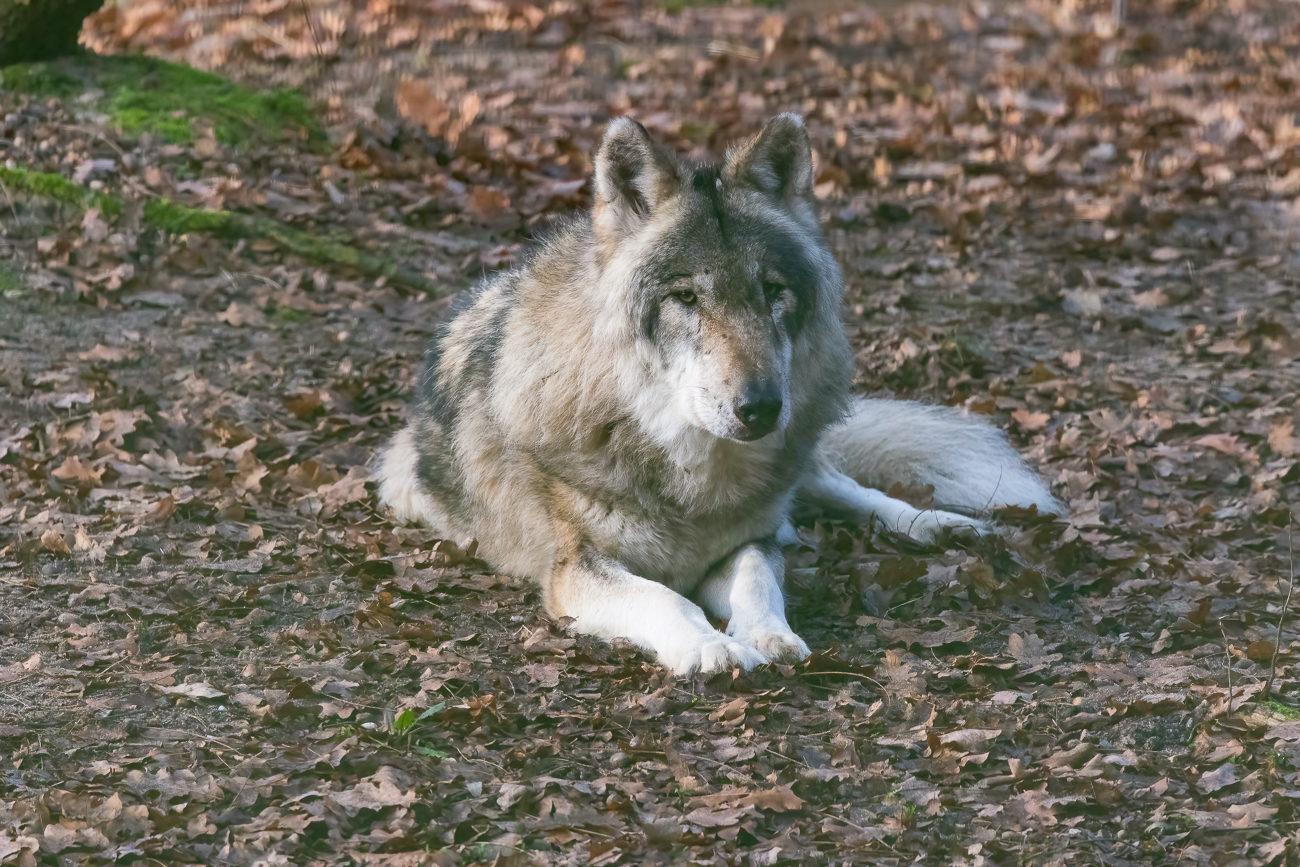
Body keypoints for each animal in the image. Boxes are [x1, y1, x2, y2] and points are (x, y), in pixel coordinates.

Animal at [377, 114, 1060, 675]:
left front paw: (768, 635)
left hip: (800, 465)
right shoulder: (577, 569)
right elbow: (663, 596)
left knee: (840, 488)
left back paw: (938, 525)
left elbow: (757, 578)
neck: (690, 471)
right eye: (686, 298)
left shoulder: (746, 540)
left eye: (773, 291)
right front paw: (712, 646)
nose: (761, 406)